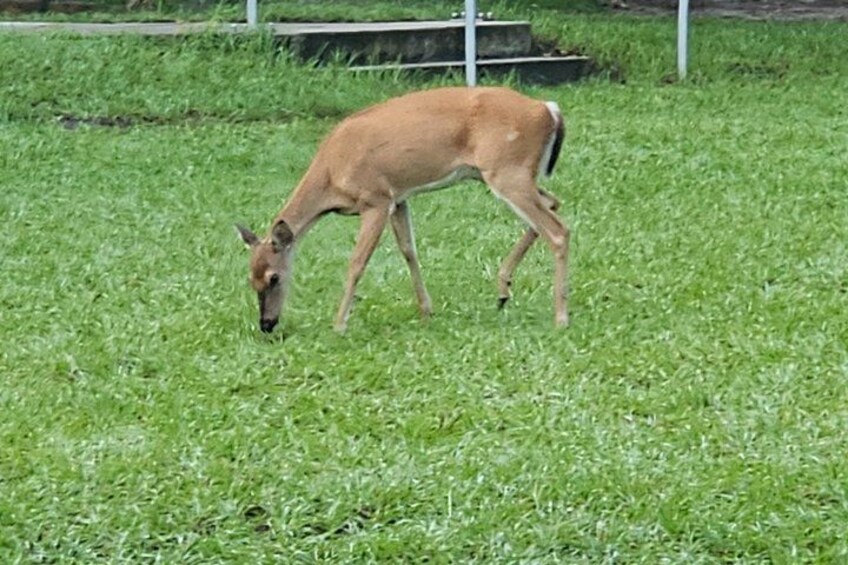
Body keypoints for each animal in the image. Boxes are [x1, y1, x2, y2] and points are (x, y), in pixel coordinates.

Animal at [236, 86, 569, 334]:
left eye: (274, 278)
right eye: (250, 279)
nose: (266, 324)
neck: (331, 174)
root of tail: (548, 109)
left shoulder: (375, 198)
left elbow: (357, 262)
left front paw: (339, 324)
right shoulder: (398, 199)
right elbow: (409, 251)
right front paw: (426, 311)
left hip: (507, 170)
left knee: (557, 230)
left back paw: (560, 317)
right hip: (505, 173)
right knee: (552, 204)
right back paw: (502, 291)